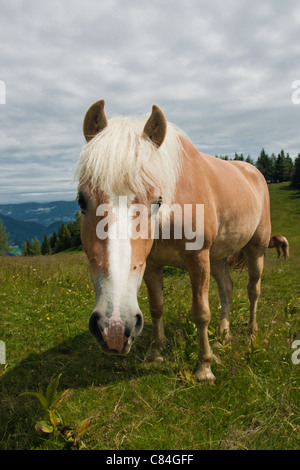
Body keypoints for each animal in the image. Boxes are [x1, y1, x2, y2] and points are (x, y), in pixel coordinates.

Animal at [75, 99, 272, 382]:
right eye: (82, 200)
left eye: (157, 201)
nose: (113, 328)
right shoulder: (152, 264)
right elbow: (157, 307)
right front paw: (156, 353)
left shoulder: (198, 260)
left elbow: (201, 312)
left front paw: (204, 367)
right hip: (218, 257)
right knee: (227, 288)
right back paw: (223, 335)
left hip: (256, 248)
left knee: (253, 290)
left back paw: (250, 336)